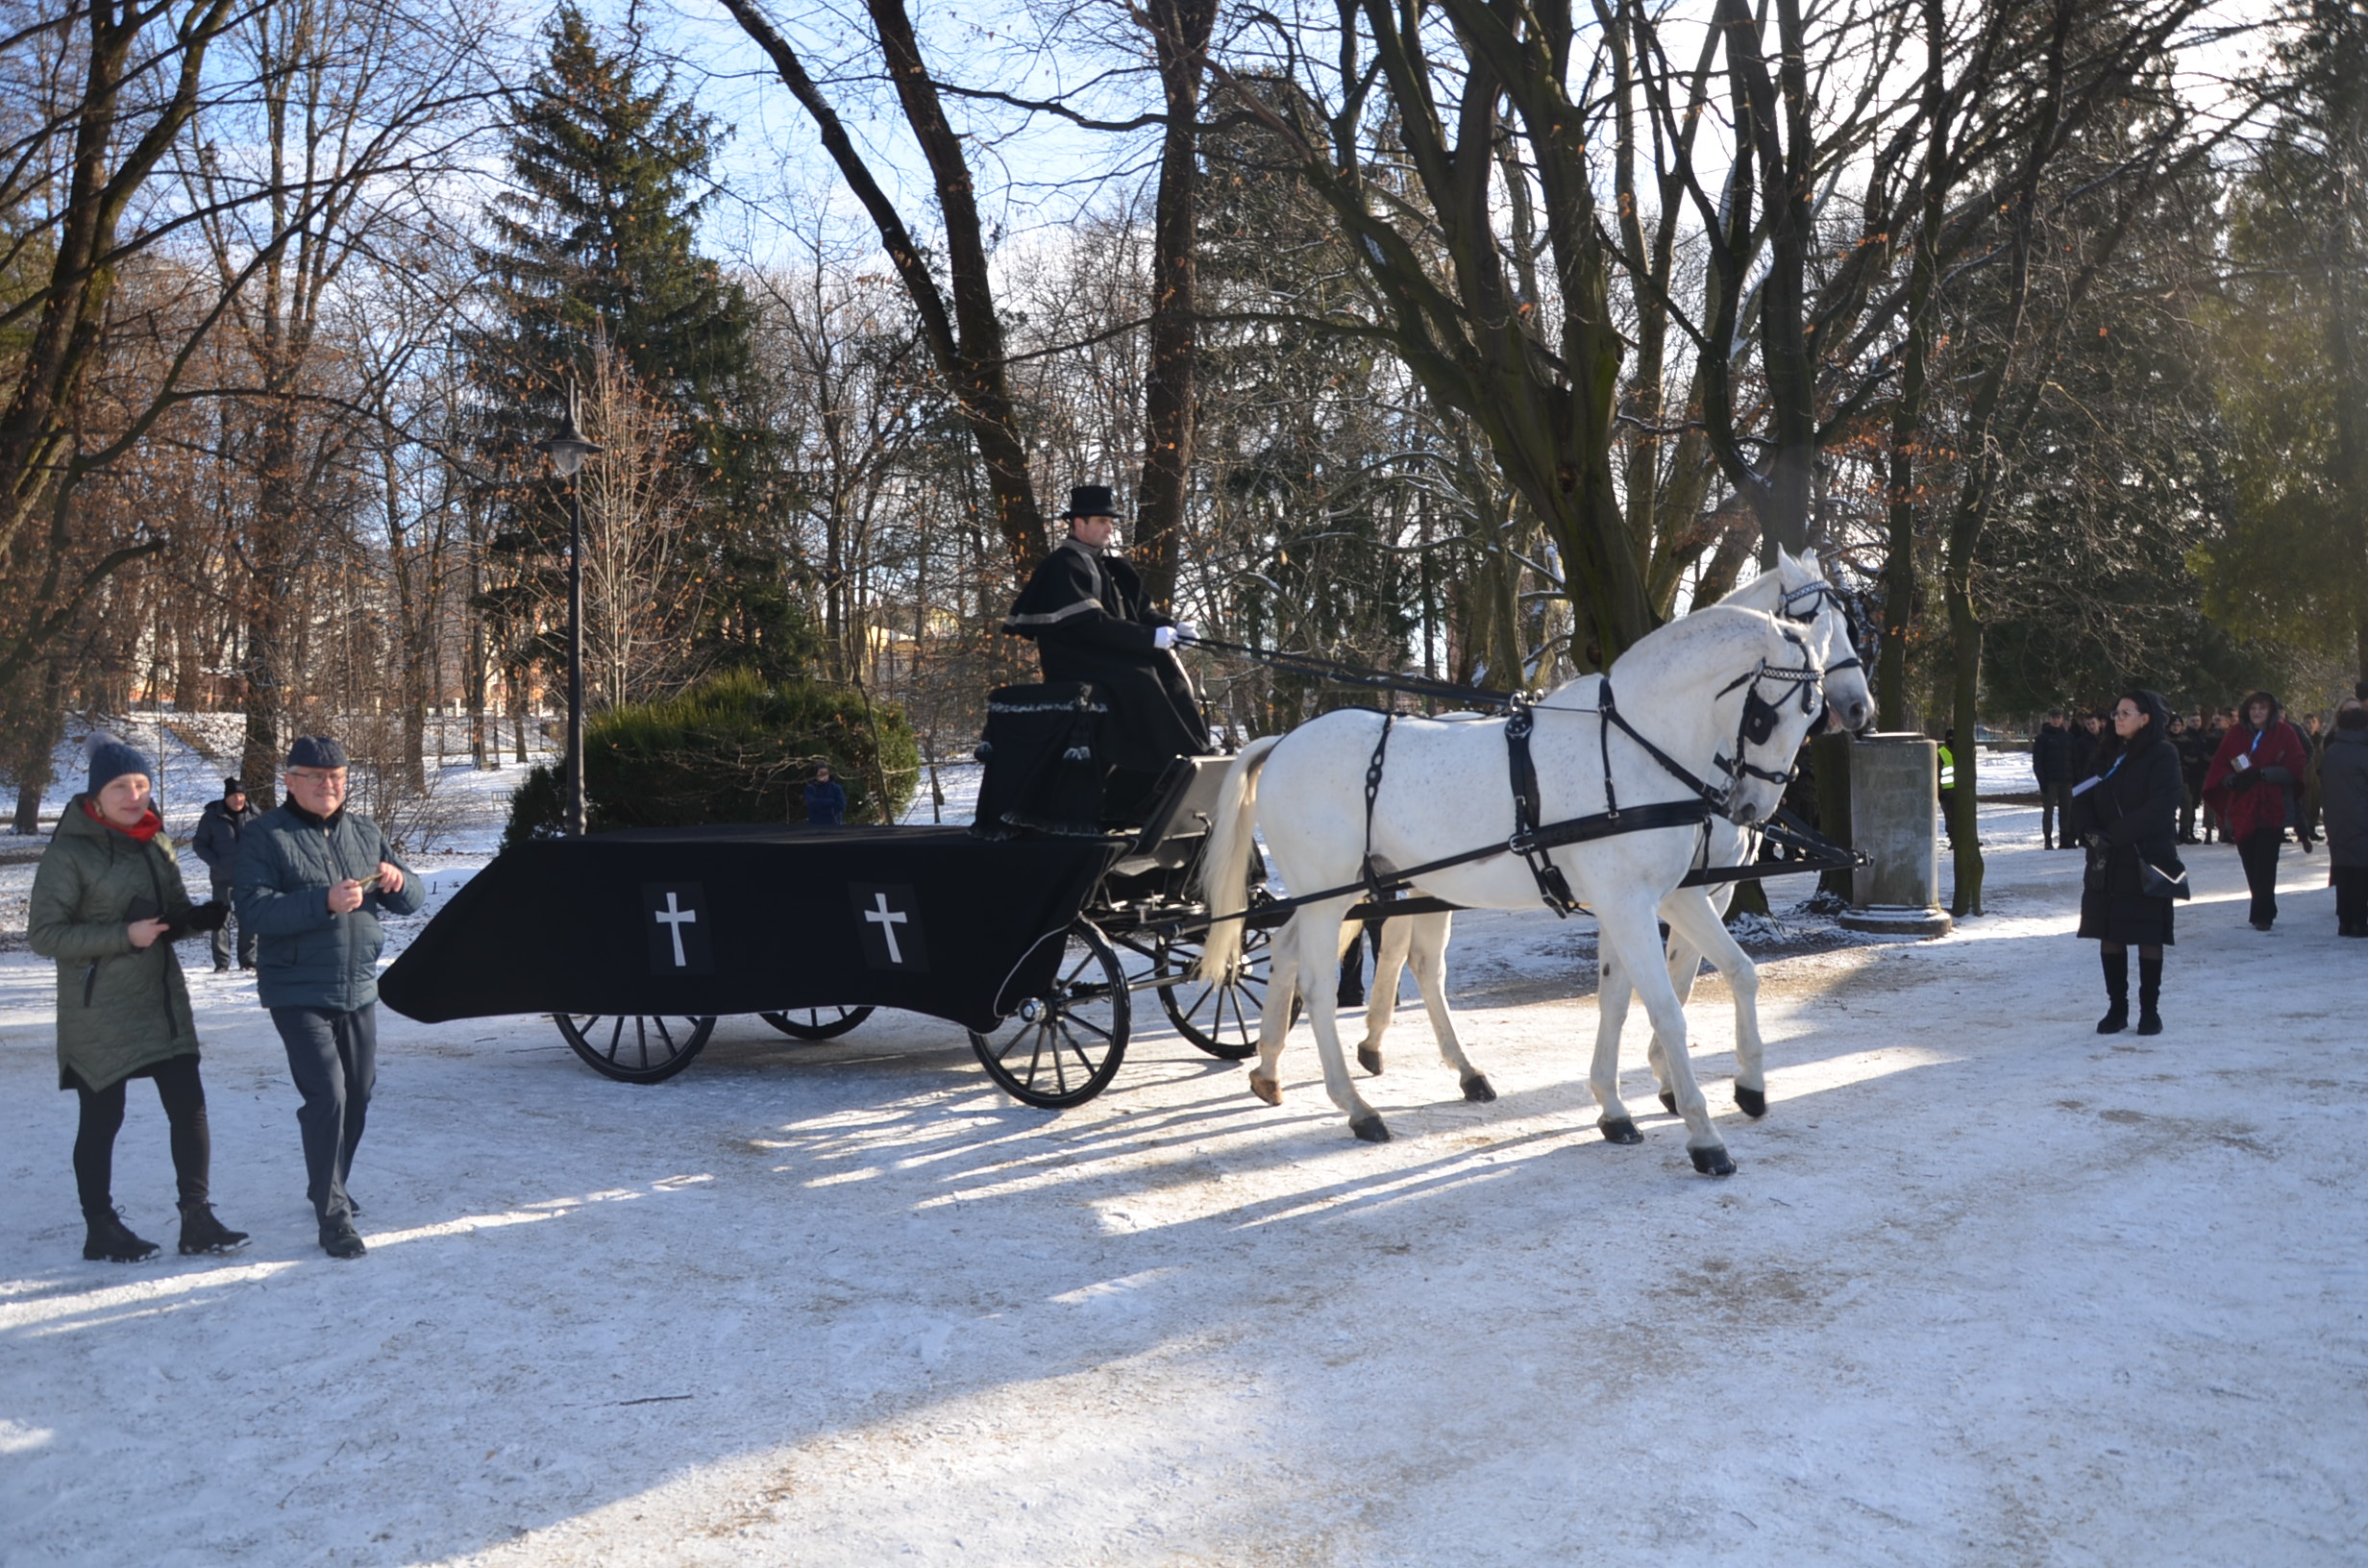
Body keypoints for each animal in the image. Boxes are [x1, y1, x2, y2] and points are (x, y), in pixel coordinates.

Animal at [1196, 601, 1827, 1171]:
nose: (1752, 808)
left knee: (1293, 952)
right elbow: (1665, 1009)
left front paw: (1734, 1089)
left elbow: (1726, 975)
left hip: (1340, 893)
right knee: (1321, 987)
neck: (1636, 749)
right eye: (1765, 718)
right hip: (1330, 897)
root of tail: (1283, 742)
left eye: (1813, 717)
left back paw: (1272, 1071)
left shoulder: (1676, 893)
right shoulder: (1628, 903)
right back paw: (1356, 1107)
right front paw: (1702, 1134)